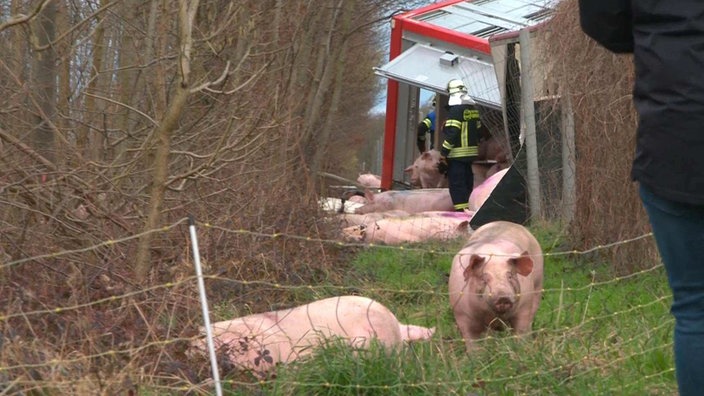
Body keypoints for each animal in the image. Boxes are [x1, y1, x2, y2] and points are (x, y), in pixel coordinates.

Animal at [448, 220, 540, 352]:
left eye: (510, 276)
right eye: (484, 278)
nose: (503, 297)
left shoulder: (524, 306)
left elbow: (521, 329)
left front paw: (523, 349)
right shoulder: (461, 314)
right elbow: (471, 339)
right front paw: (476, 355)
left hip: (538, 285)